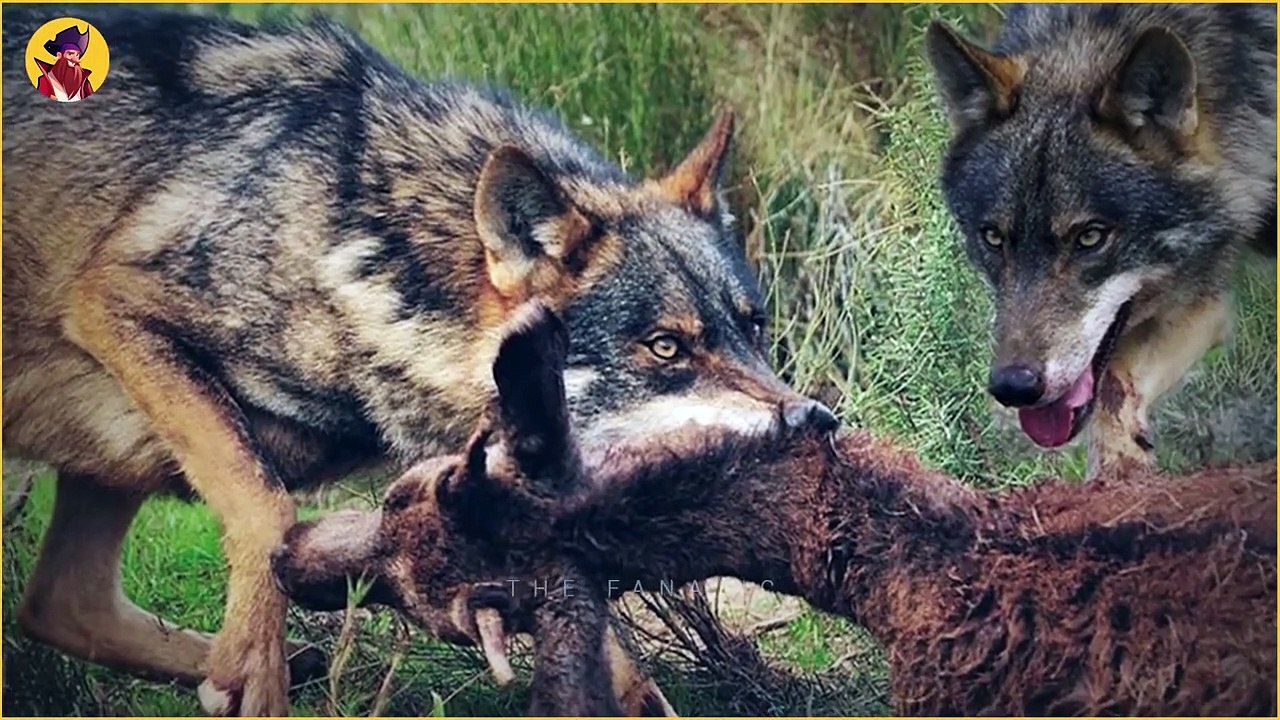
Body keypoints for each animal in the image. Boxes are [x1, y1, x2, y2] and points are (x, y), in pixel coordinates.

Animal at [1, 7, 837, 715]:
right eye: (666, 346)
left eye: (755, 327)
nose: (817, 423)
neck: (363, 242)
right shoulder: (112, 304)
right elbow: (267, 513)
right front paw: (253, 670)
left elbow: (626, 674)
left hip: (116, 459)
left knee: (55, 603)